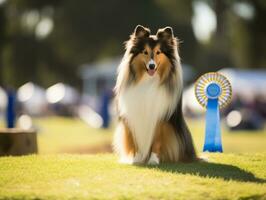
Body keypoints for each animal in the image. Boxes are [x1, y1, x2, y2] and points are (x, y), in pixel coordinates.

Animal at [112, 25, 195, 165]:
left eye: (158, 52)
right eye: (145, 52)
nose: (151, 66)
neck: (148, 81)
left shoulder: (160, 118)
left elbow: (157, 141)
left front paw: (153, 160)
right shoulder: (133, 116)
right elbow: (136, 140)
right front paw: (136, 159)